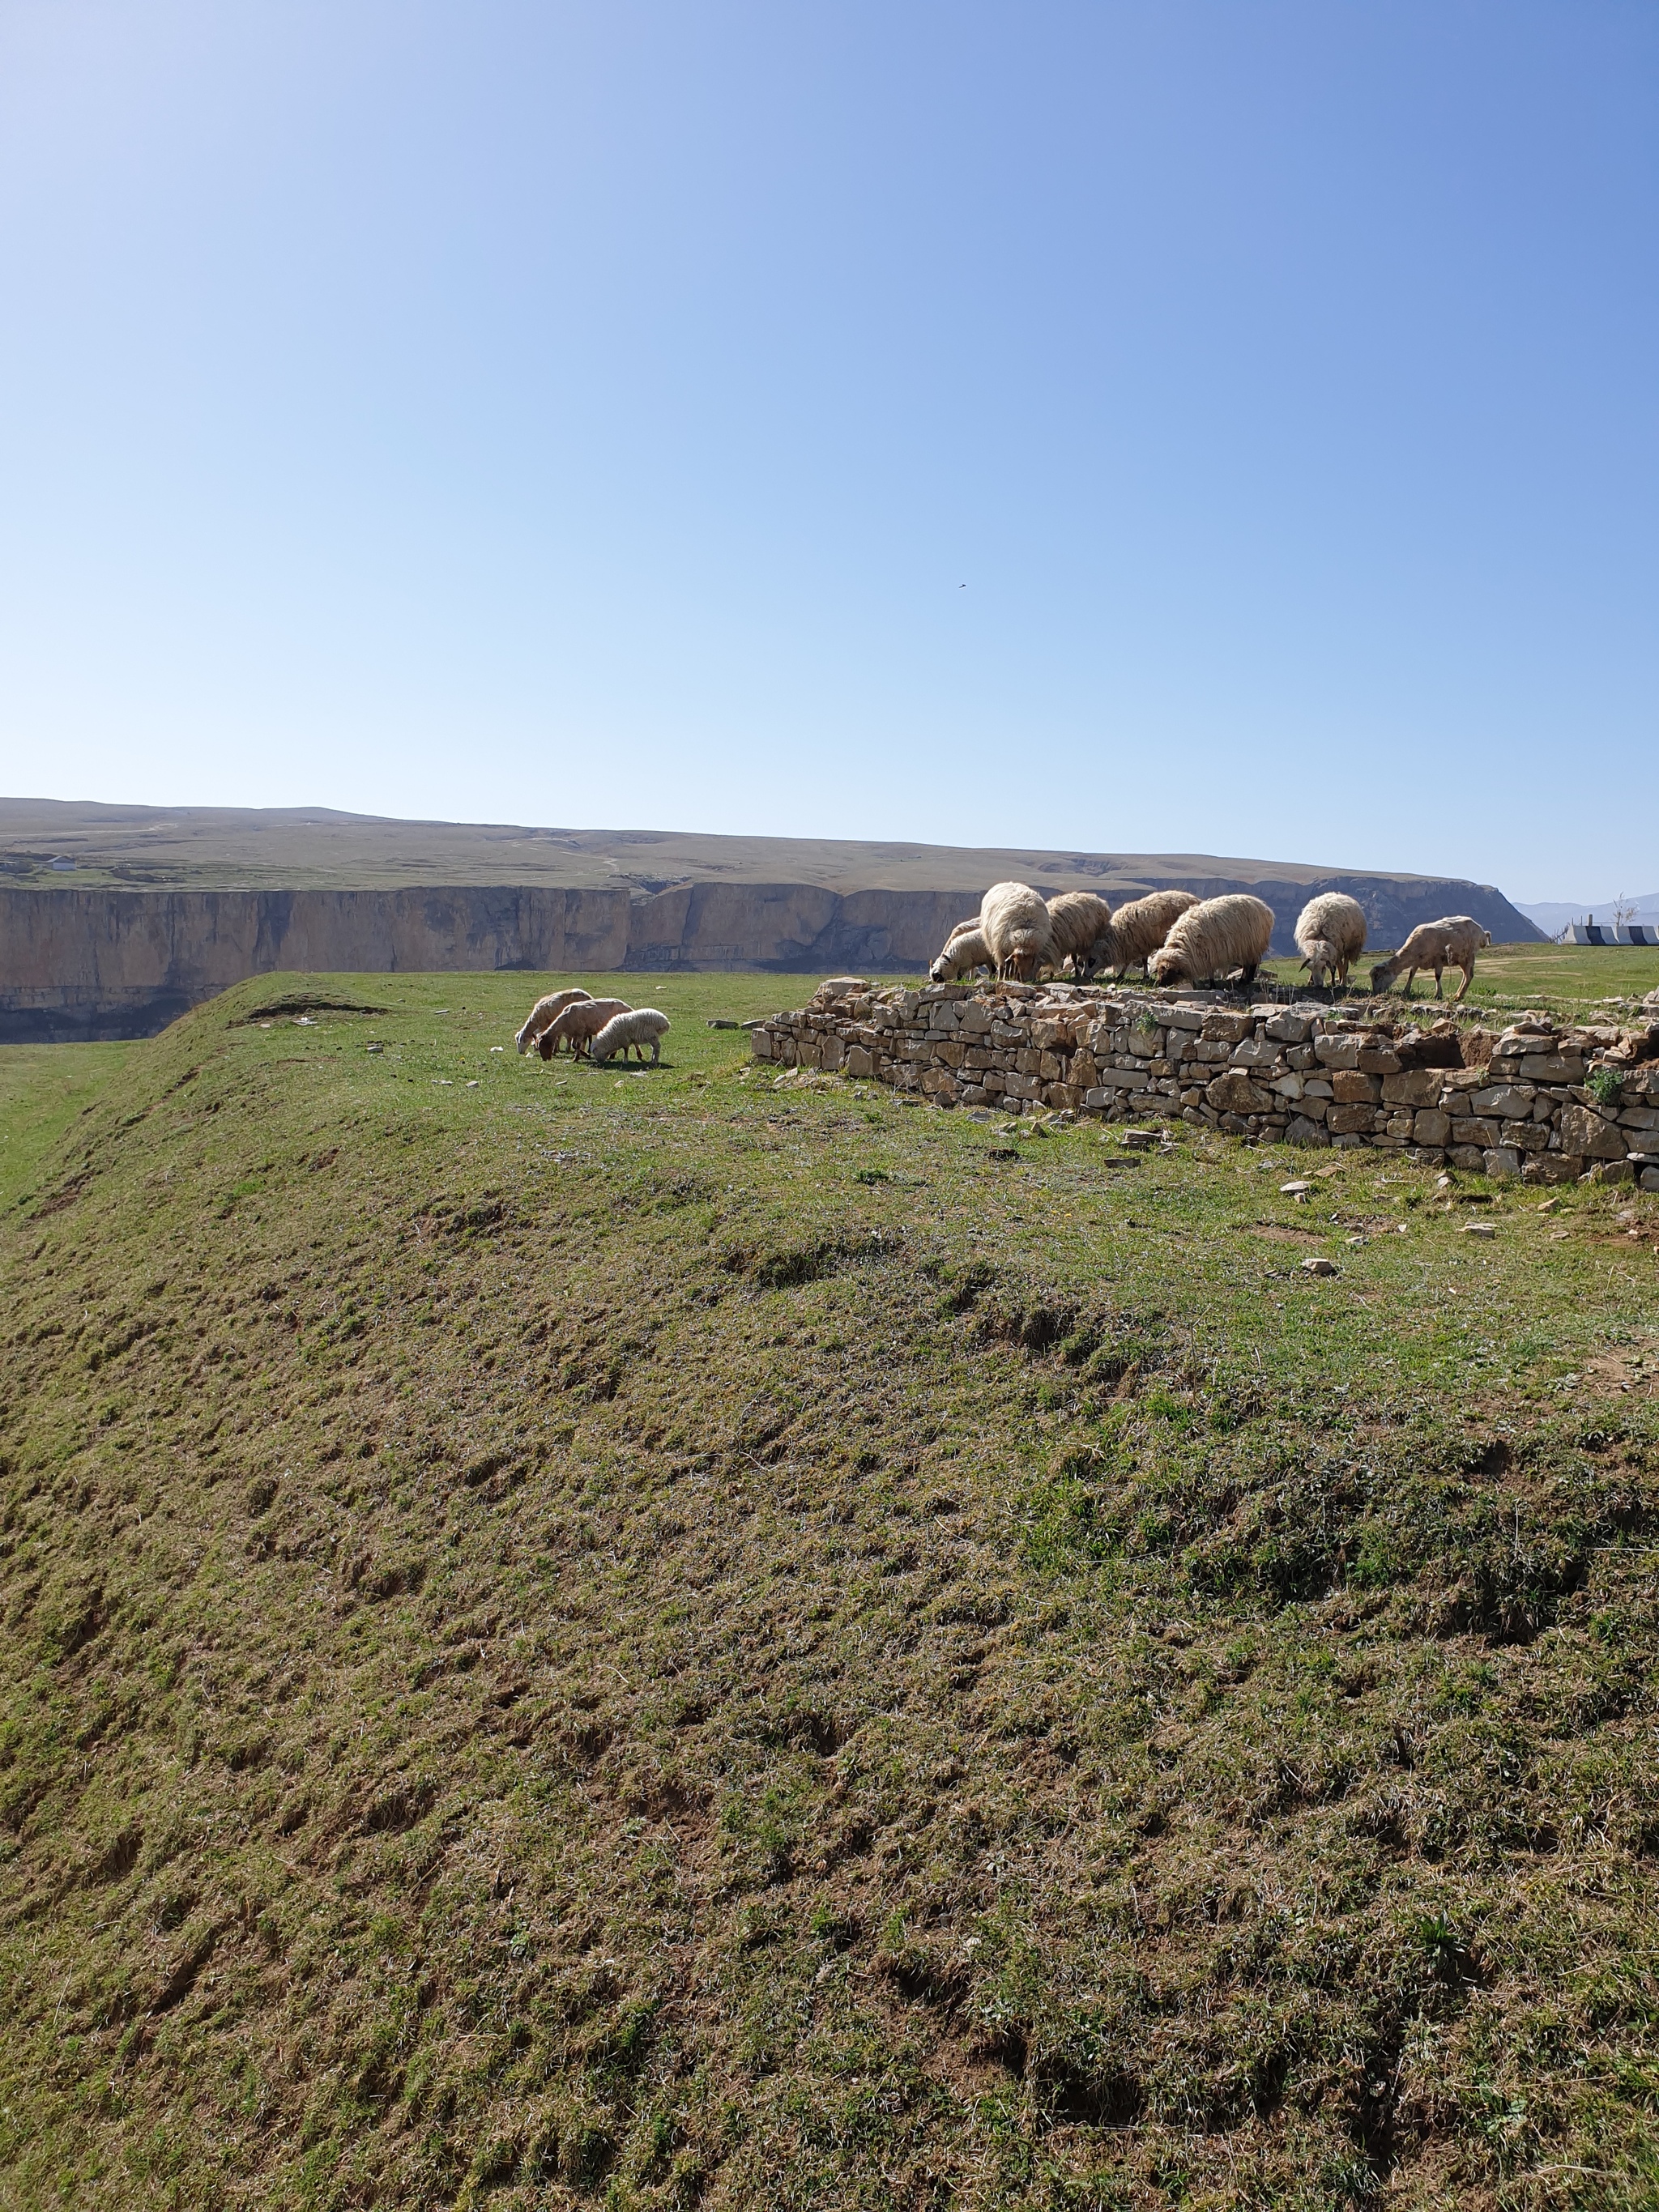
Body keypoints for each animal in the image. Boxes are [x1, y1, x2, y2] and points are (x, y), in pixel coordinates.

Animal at [982, 876, 1057, 982]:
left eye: (1032, 962)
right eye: (1019, 963)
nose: (1025, 980)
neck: (1025, 931)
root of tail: (1008, 882)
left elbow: (1011, 964)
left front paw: (1014, 977)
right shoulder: (1001, 947)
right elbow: (1003, 964)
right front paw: (1002, 977)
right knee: (1006, 963)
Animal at [1084, 884, 1203, 982]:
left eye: (1091, 960)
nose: (1084, 975)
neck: (1118, 937)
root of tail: (1197, 900)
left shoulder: (1142, 944)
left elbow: (1143, 960)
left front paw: (1145, 976)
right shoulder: (1133, 945)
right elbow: (1130, 962)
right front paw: (1121, 975)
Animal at [1149, 893, 1282, 991]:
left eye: (1166, 972)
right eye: (1159, 971)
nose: (1158, 985)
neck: (1184, 944)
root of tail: (1264, 907)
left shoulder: (1209, 953)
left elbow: (1210, 972)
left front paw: (1212, 985)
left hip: (1252, 944)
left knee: (1252, 964)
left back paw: (1244, 981)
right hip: (1246, 947)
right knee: (1248, 965)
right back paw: (1245, 981)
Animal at [1380, 915, 1495, 1004]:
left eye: (1378, 977)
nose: (1377, 992)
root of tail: (1482, 932)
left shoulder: (1438, 960)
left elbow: (1437, 976)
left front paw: (1438, 994)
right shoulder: (1416, 962)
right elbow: (1411, 975)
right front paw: (1406, 991)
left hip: (1469, 955)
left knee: (1469, 975)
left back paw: (1459, 996)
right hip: (1461, 959)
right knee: (1466, 974)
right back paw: (1458, 994)